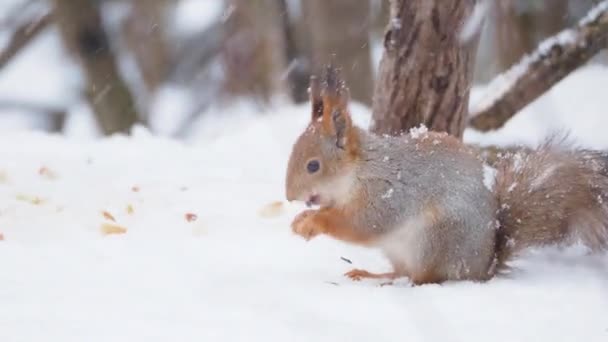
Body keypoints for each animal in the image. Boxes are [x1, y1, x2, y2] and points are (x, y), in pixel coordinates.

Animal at [284, 65, 608, 284]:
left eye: (313, 166)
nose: (289, 197)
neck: (360, 169)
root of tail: (483, 267)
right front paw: (302, 218)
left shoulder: (388, 192)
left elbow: (364, 223)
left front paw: (314, 222)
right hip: (403, 250)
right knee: (401, 271)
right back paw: (372, 274)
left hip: (436, 238)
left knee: (426, 278)